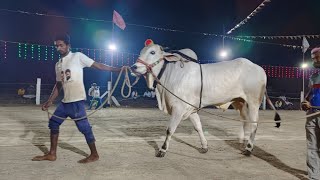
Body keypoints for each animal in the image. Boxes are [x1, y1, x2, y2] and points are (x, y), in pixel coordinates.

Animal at [131, 42, 280, 158]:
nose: (134, 67)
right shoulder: (190, 109)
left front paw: (162, 150)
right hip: (240, 102)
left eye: (152, 52)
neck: (170, 74)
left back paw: (248, 149)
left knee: (254, 124)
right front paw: (204, 146)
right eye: (141, 52)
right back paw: (242, 143)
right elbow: (198, 127)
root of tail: (260, 69)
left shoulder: (179, 108)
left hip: (253, 102)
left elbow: (170, 130)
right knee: (245, 122)